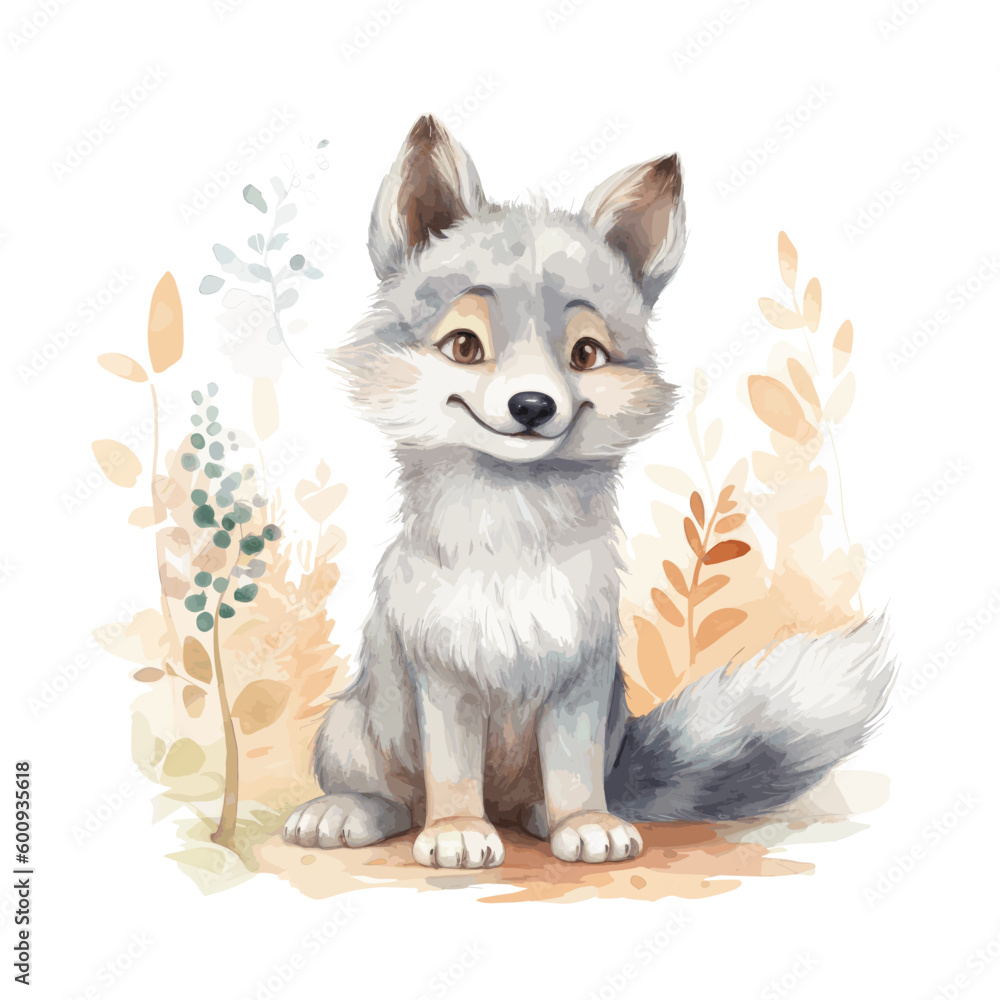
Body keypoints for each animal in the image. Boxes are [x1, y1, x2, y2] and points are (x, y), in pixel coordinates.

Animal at [282, 114, 894, 869]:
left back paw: (547, 817)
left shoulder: (582, 672)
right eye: (464, 345)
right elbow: (450, 772)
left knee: (543, 795)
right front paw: (457, 831)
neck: (512, 544)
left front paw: (585, 824)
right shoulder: (444, 675)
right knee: (392, 797)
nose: (533, 406)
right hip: (350, 727)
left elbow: (572, 768)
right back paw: (351, 813)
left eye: (584, 354)